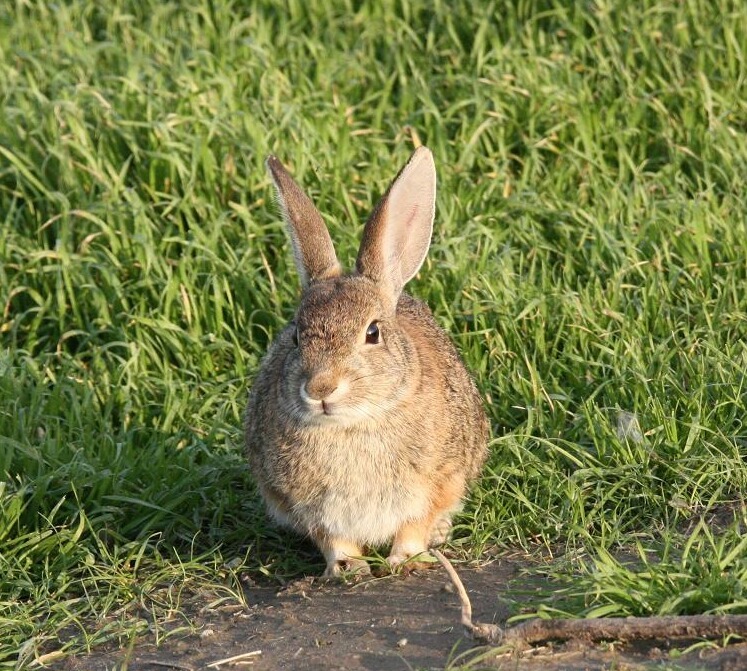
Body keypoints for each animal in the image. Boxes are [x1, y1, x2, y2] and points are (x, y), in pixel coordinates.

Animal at [245, 147, 490, 576]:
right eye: (296, 336)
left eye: (372, 333)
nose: (320, 388)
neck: (353, 423)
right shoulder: (305, 505)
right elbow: (331, 538)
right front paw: (346, 567)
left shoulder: (436, 482)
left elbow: (414, 524)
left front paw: (405, 560)